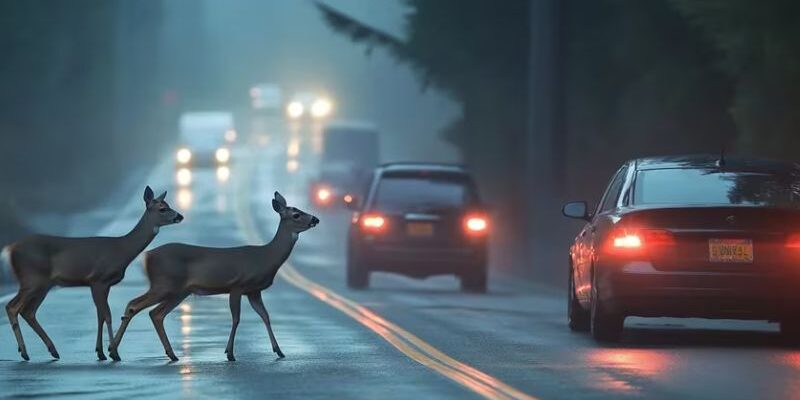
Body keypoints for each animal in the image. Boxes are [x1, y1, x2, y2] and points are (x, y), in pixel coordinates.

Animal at [3, 186, 183, 361]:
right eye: (162, 208)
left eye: (167, 205)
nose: (180, 216)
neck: (122, 250)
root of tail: (10, 249)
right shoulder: (98, 280)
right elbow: (107, 315)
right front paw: (114, 353)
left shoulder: (103, 284)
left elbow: (100, 316)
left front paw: (100, 352)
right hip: (31, 278)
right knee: (12, 307)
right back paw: (25, 352)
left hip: (44, 284)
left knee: (28, 312)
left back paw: (52, 351)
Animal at [113, 191, 318, 362]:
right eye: (296, 214)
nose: (315, 219)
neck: (265, 257)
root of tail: (147, 257)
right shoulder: (237, 285)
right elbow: (236, 318)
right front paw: (230, 353)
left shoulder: (254, 291)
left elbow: (265, 316)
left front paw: (279, 351)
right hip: (164, 284)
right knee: (136, 305)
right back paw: (114, 352)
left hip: (179, 291)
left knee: (155, 313)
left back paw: (169, 354)